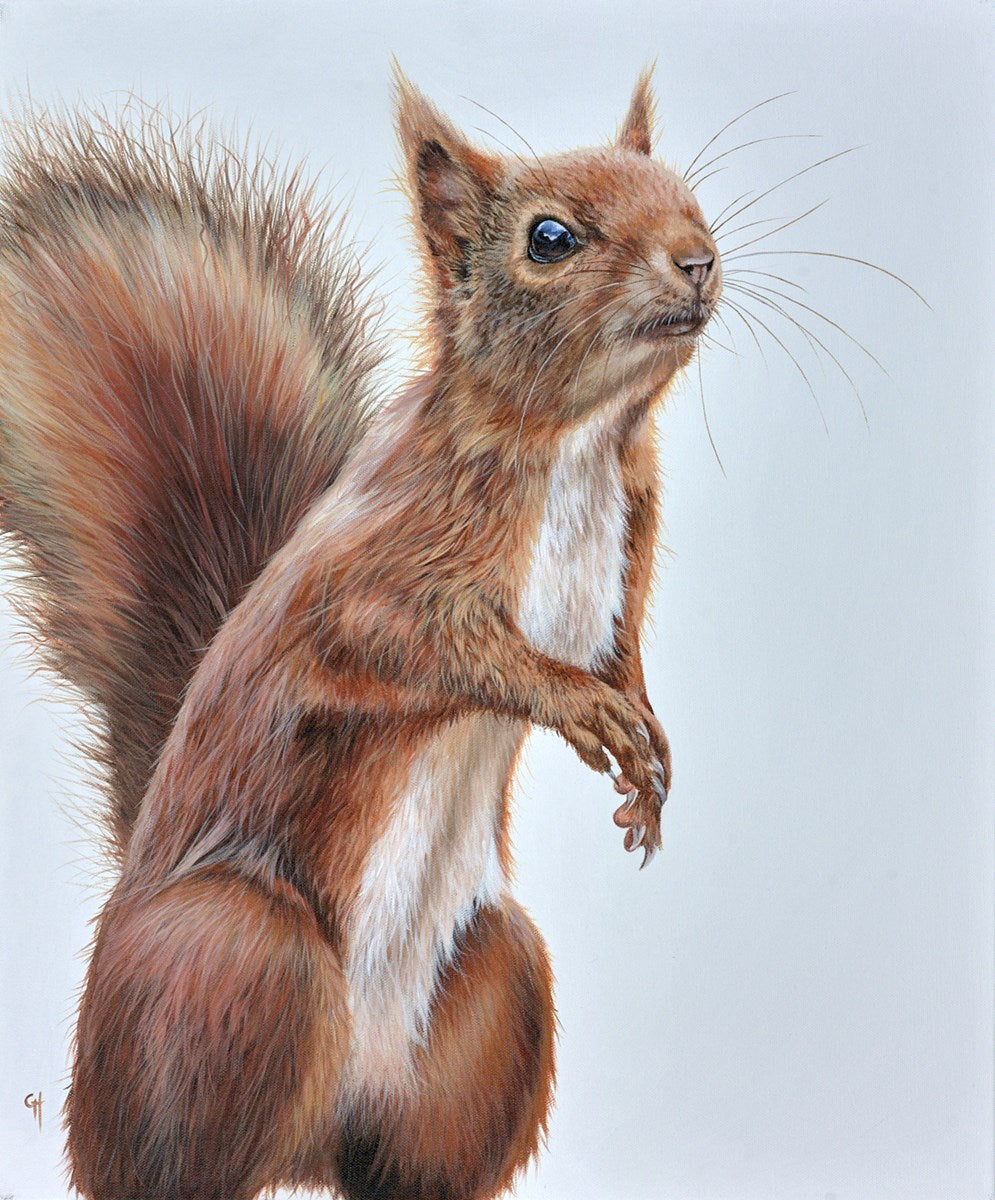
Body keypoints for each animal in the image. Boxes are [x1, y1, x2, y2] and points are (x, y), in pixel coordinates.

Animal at [0, 66, 720, 1200]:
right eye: (550, 238)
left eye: (683, 193)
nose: (696, 258)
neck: (577, 446)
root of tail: (310, 1139)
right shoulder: (370, 580)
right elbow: (421, 648)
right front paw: (578, 706)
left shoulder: (624, 561)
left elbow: (623, 655)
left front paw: (645, 753)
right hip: (235, 961)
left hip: (492, 1003)